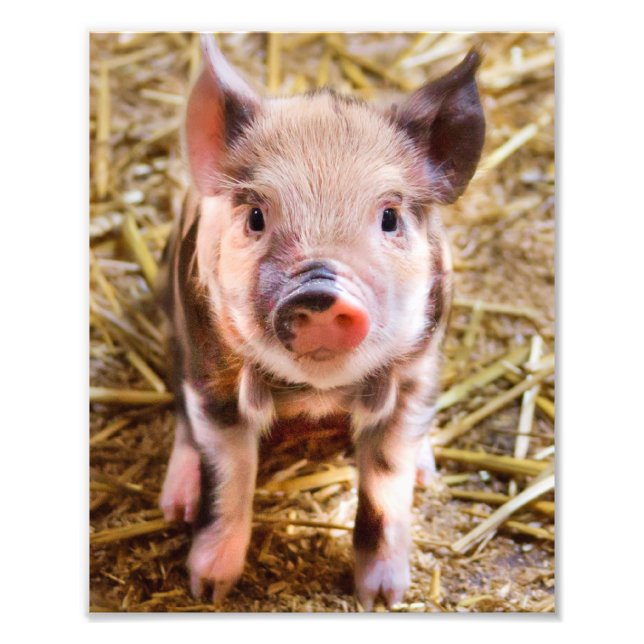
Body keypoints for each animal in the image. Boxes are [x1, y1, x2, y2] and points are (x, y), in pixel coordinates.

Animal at [158, 34, 485, 609]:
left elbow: (386, 488)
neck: (316, 394)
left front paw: (384, 598)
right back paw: (175, 506)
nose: (319, 291)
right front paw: (208, 589)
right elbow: (228, 479)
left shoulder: (416, 375)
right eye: (256, 216)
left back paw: (428, 475)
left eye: (390, 218)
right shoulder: (210, 372)